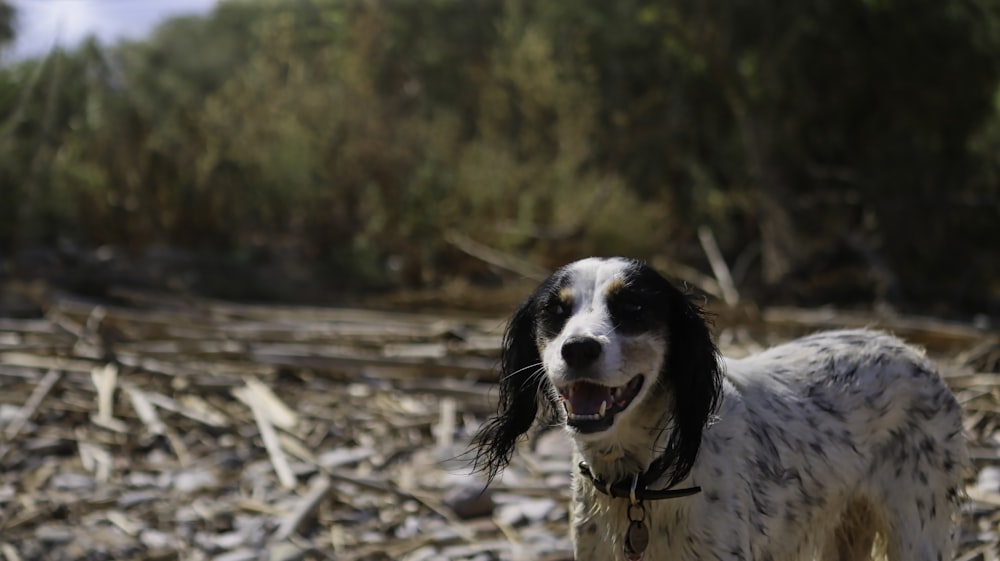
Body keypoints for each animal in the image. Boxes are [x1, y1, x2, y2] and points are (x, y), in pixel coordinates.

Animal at [472, 256, 964, 556]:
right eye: (555, 312)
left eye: (632, 307)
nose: (577, 349)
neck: (641, 480)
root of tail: (909, 349)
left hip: (917, 531)